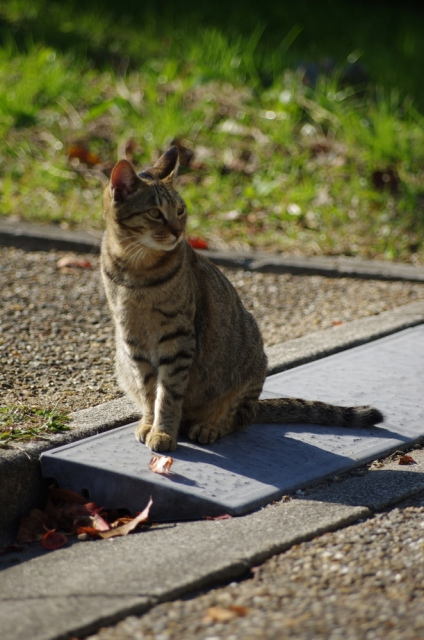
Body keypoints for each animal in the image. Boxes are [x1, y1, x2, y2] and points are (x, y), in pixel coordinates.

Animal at [100, 148, 384, 452]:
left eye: (180, 210)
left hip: (248, 365)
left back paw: (209, 426)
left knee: (237, 417)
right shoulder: (132, 338)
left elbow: (168, 394)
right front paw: (149, 423)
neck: (134, 269)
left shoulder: (177, 338)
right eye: (155, 213)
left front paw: (162, 432)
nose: (178, 231)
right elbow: (149, 391)